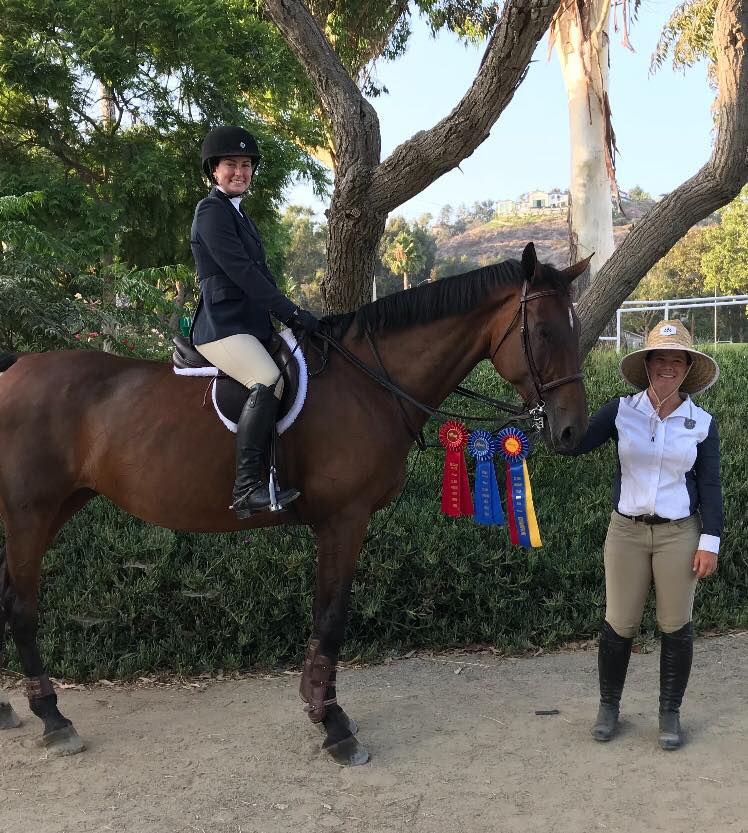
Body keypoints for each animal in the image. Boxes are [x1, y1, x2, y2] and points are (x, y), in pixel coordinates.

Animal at [0, 243, 589, 765]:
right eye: (542, 331)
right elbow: (331, 616)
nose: (570, 431)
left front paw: (319, 707)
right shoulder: (344, 520)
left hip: (60, 504)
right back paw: (53, 718)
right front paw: (333, 726)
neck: (371, 383)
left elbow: (325, 615)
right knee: (21, 605)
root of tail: (15, 366)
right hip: (31, 511)